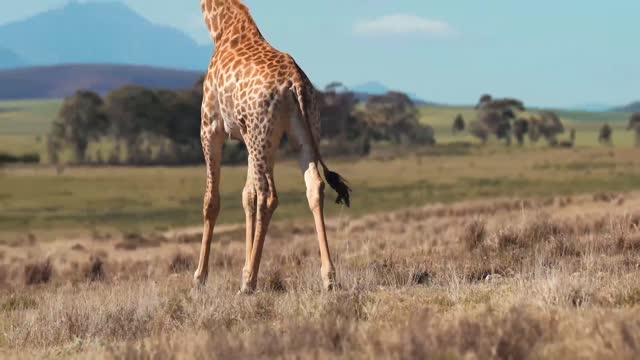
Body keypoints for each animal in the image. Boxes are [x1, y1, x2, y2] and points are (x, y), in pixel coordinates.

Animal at [195, 0, 352, 292]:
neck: (222, 29)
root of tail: (295, 83)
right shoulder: (247, 136)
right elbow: (248, 196)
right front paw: (242, 268)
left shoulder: (211, 127)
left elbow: (212, 200)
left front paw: (200, 278)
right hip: (300, 134)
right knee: (314, 186)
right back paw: (329, 277)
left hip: (263, 134)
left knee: (269, 196)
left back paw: (249, 283)